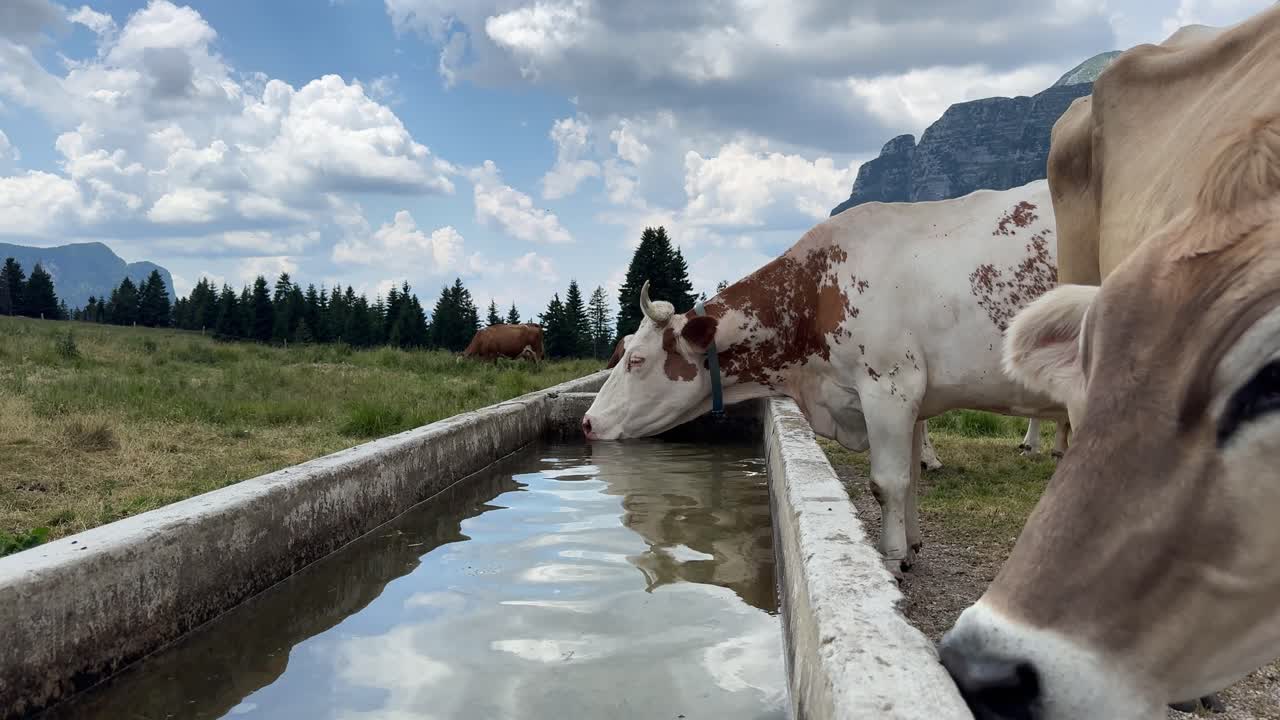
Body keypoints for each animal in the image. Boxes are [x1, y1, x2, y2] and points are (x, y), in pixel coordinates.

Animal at [581, 178, 1069, 579]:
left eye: (636, 360)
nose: (586, 422)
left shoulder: (890, 387)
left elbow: (887, 483)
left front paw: (892, 559)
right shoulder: (914, 402)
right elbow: (910, 481)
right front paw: (911, 545)